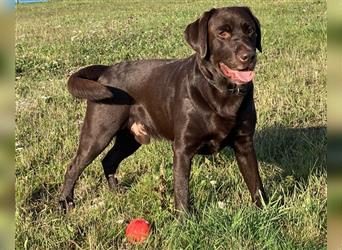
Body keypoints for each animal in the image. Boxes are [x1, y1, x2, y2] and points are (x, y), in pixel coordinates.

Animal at [60, 6, 268, 213]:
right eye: (222, 33)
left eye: (250, 30)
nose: (249, 56)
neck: (221, 93)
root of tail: (107, 70)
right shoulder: (183, 149)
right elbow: (182, 191)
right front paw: (184, 219)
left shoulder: (244, 144)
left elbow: (256, 183)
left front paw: (265, 210)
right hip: (98, 134)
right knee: (74, 167)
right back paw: (66, 203)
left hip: (130, 138)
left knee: (109, 160)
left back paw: (116, 192)